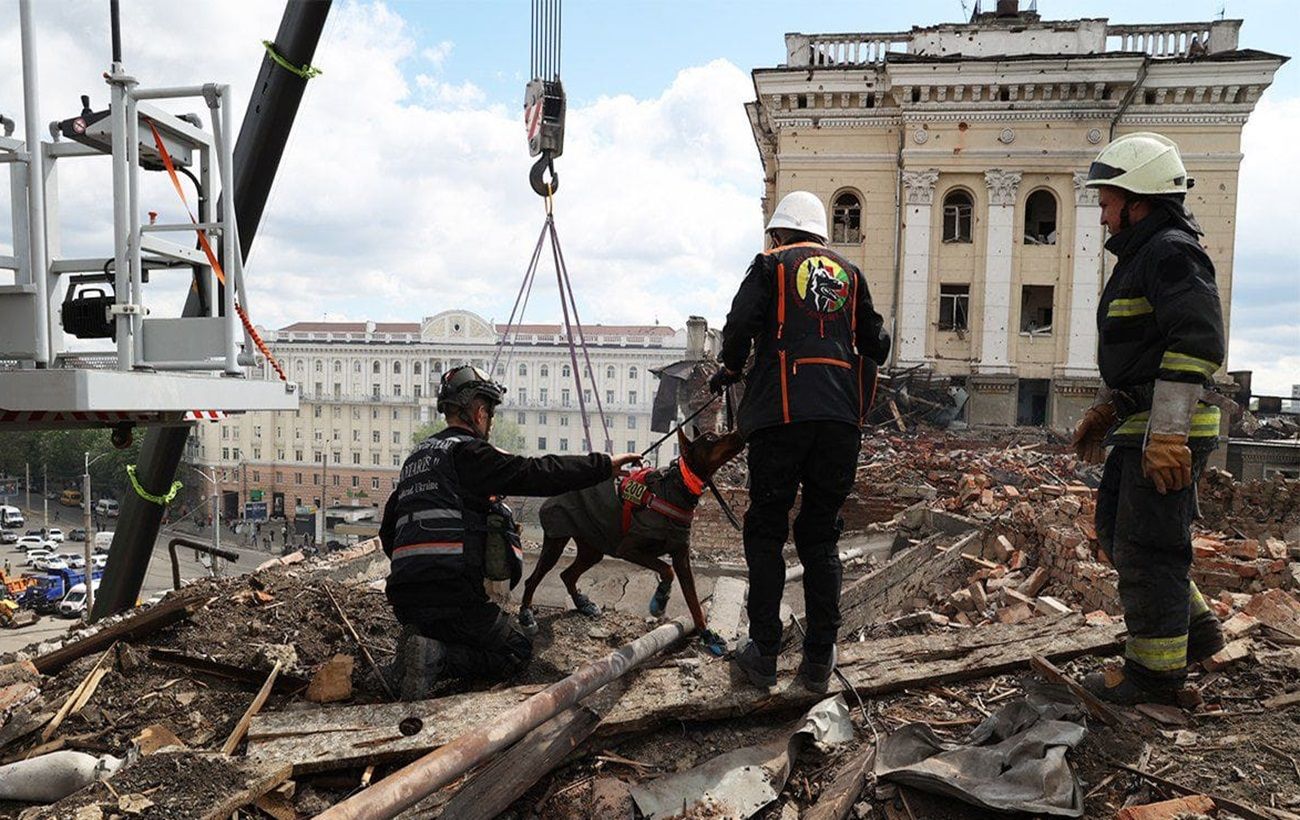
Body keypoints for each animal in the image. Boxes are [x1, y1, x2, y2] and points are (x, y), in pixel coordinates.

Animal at [514, 426, 743, 644]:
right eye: (711, 438)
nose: (740, 431)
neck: (677, 487)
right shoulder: (628, 549)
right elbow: (666, 569)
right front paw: (660, 598)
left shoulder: (681, 555)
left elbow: (693, 600)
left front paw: (707, 634)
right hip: (557, 539)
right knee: (533, 579)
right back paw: (527, 615)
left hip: (592, 546)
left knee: (567, 574)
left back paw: (583, 604)